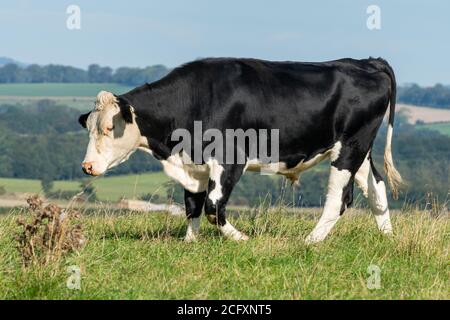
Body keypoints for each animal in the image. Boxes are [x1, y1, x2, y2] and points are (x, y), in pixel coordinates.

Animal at [78, 57, 404, 242]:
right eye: (90, 128)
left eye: (109, 128)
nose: (87, 167)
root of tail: (367, 62)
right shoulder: (194, 165)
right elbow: (192, 205)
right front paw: (189, 243)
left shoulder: (230, 159)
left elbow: (212, 207)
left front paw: (241, 239)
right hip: (358, 149)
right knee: (375, 187)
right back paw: (388, 239)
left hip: (350, 147)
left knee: (339, 199)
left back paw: (310, 241)